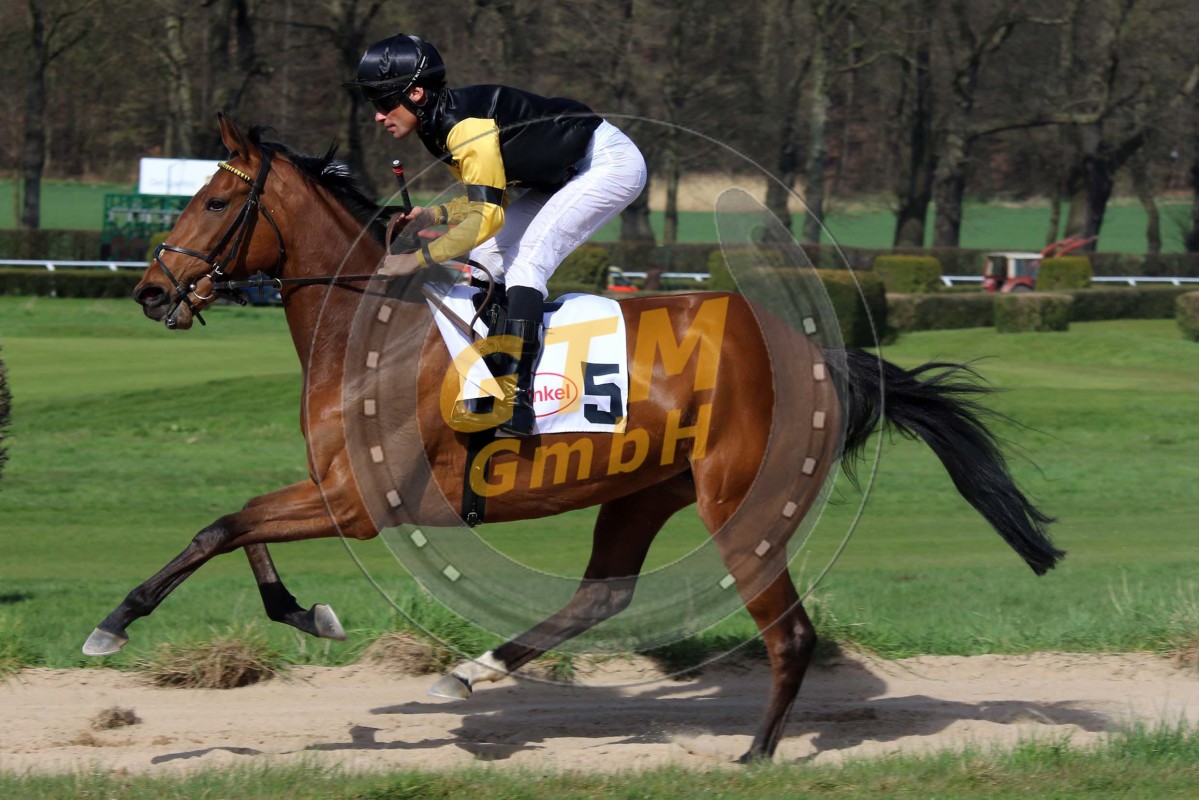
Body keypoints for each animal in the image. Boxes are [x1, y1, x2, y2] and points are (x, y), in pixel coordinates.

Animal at [86, 114, 1063, 763]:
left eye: (217, 198)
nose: (150, 291)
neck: (375, 332)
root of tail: (819, 356)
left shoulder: (362, 501)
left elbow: (222, 525)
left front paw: (114, 622)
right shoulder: (332, 487)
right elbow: (238, 528)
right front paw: (303, 613)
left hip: (739, 505)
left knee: (788, 635)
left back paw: (753, 757)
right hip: (643, 492)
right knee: (603, 595)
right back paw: (470, 670)